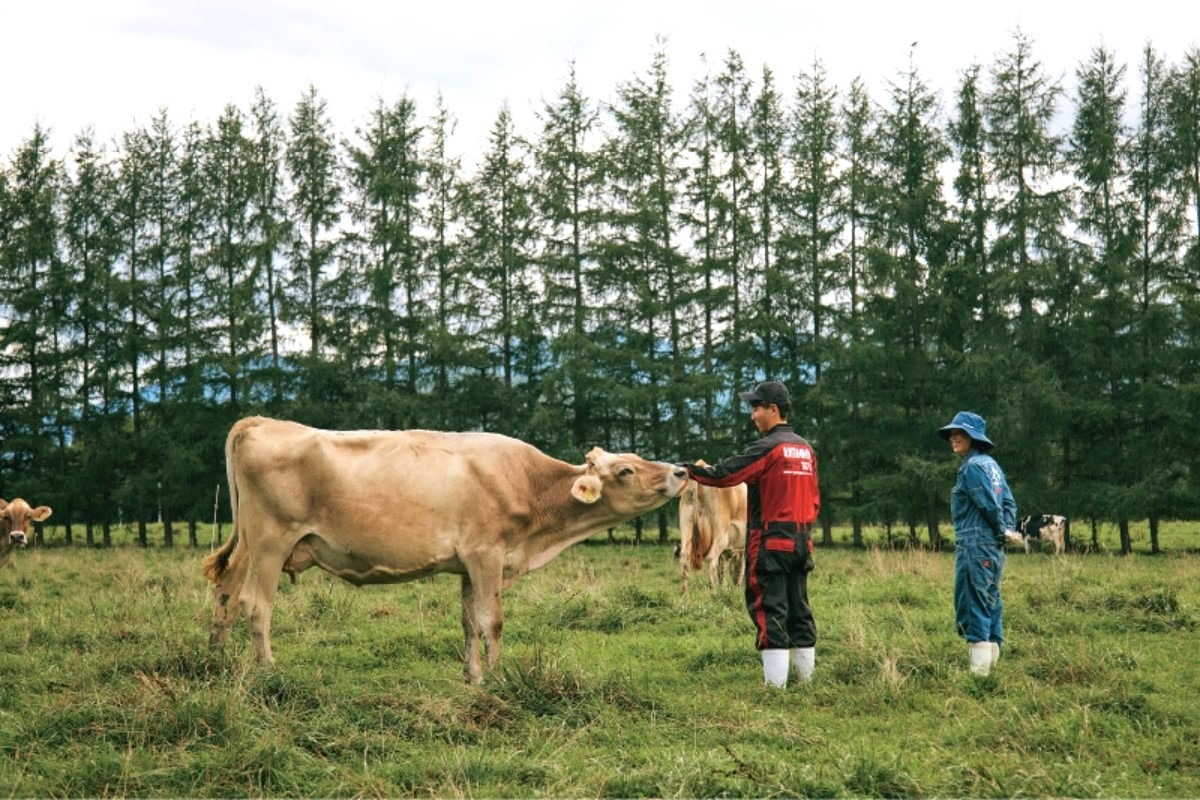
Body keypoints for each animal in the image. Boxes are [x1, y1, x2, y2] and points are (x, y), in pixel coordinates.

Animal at [202, 417, 691, 686]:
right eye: (626, 470)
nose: (681, 470)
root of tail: (260, 421)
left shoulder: (467, 565)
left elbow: (469, 622)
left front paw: (472, 677)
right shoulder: (486, 553)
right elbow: (492, 621)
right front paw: (497, 679)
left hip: (250, 544)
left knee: (225, 593)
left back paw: (217, 663)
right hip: (271, 540)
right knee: (255, 604)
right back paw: (268, 671)